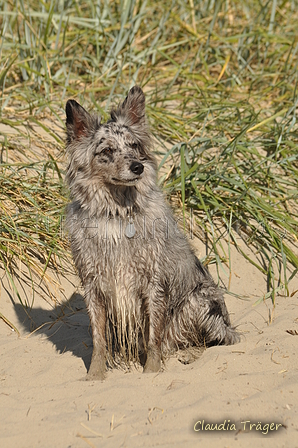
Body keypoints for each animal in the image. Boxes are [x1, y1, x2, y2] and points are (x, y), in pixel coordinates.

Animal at [65, 86, 240, 380]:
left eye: (134, 146)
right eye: (107, 150)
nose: (138, 167)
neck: (118, 215)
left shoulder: (154, 283)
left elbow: (153, 336)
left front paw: (152, 373)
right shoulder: (93, 285)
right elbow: (99, 339)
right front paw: (95, 376)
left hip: (199, 300)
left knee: (209, 340)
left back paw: (189, 355)